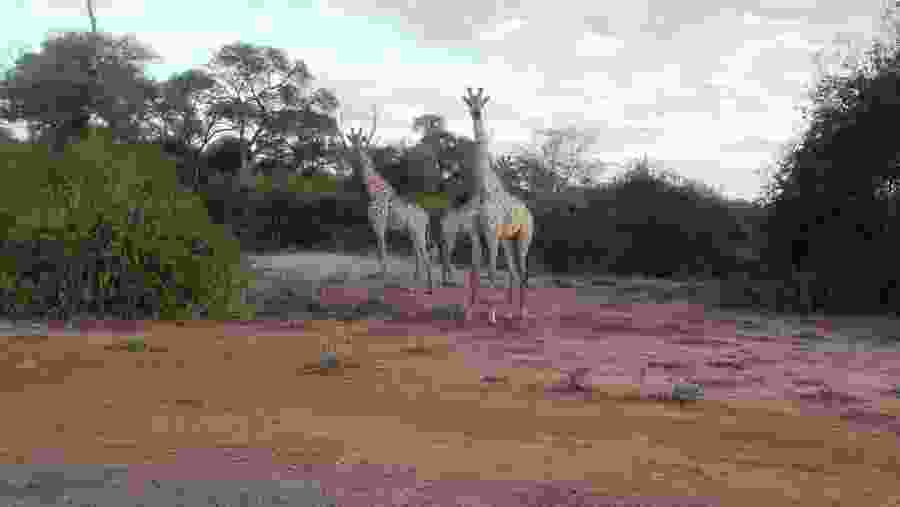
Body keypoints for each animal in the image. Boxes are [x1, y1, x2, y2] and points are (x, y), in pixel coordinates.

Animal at [341, 127, 434, 293]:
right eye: (351, 140)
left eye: (360, 141)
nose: (355, 153)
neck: (374, 190)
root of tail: (426, 216)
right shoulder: (374, 224)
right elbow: (379, 252)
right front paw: (382, 278)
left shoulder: (380, 224)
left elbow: (382, 251)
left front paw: (384, 281)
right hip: (412, 232)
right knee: (418, 255)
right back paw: (415, 285)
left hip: (419, 232)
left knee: (425, 255)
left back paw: (428, 288)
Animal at [462, 87, 535, 318]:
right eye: (469, 102)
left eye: (482, 102)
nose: (476, 112)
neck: (483, 189)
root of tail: (528, 212)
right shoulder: (476, 234)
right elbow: (474, 271)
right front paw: (468, 312)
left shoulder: (491, 232)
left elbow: (492, 271)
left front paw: (491, 315)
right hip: (507, 239)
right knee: (512, 270)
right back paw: (510, 312)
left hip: (523, 237)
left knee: (522, 270)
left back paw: (522, 311)